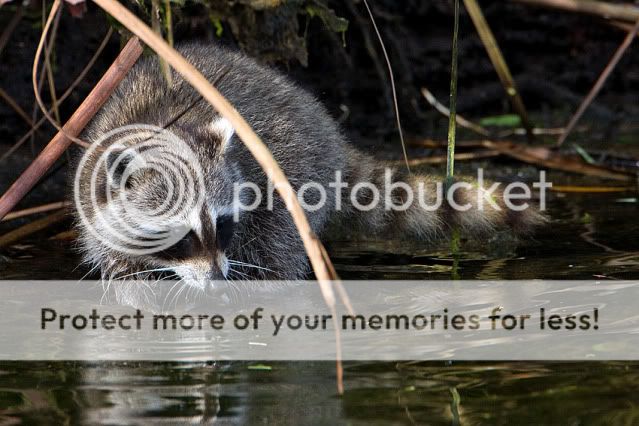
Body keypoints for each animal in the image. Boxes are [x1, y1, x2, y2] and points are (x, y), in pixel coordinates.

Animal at [74, 43, 544, 284]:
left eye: (223, 224)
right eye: (180, 235)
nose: (216, 277)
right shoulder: (94, 196)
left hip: (297, 169)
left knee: (278, 245)